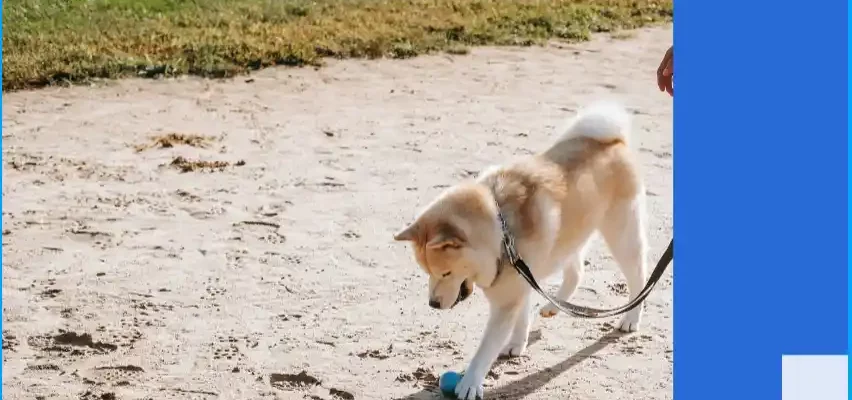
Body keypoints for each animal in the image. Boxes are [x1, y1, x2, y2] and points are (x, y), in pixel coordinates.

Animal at [396, 101, 648, 398]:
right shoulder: (523, 276)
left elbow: (486, 349)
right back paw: (554, 306)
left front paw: (470, 382)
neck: (501, 229)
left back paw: (631, 318)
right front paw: (517, 344)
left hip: (621, 236)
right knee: (576, 271)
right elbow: (522, 316)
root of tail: (614, 141)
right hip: (569, 238)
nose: (433, 305)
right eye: (427, 272)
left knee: (638, 278)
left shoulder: (508, 298)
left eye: (445, 273)